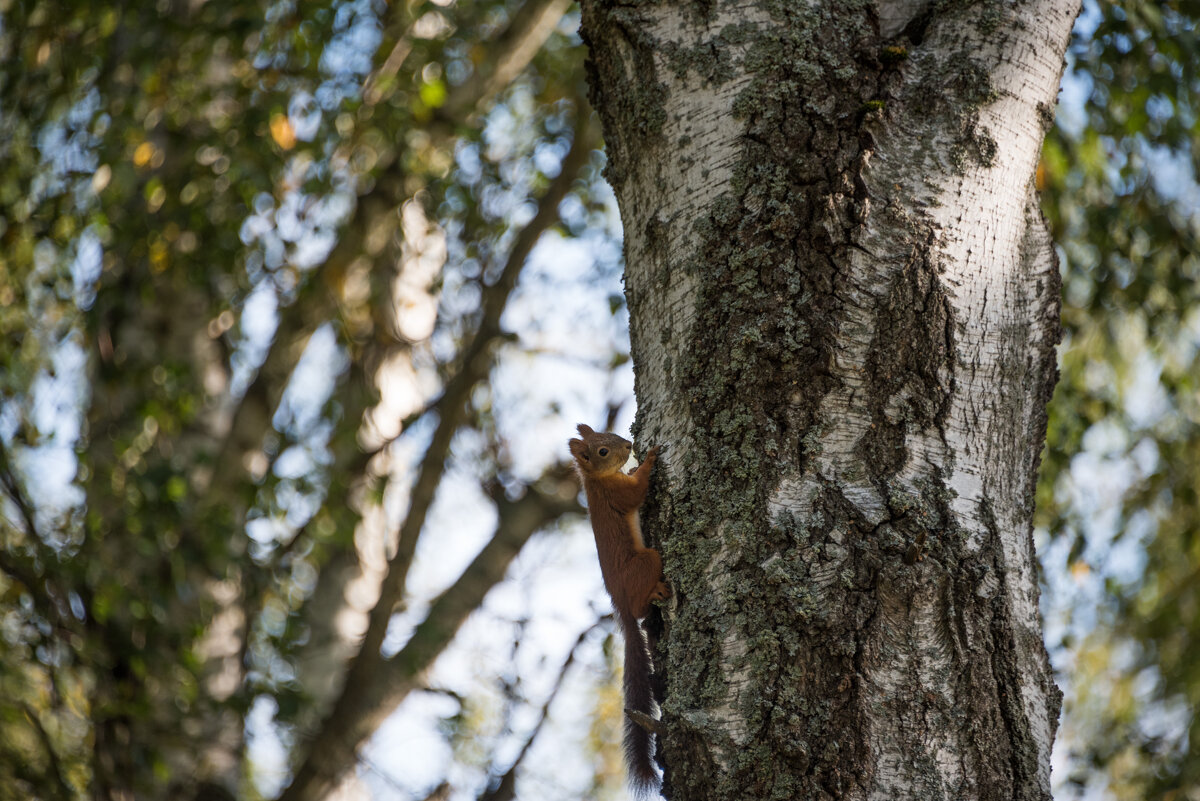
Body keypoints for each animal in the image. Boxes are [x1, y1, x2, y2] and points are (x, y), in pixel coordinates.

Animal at [568, 422, 672, 796]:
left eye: (607, 433)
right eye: (601, 451)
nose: (628, 445)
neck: (596, 480)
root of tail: (621, 604)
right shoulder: (616, 495)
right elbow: (637, 492)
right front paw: (649, 460)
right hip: (646, 562)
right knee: (641, 609)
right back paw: (656, 591)